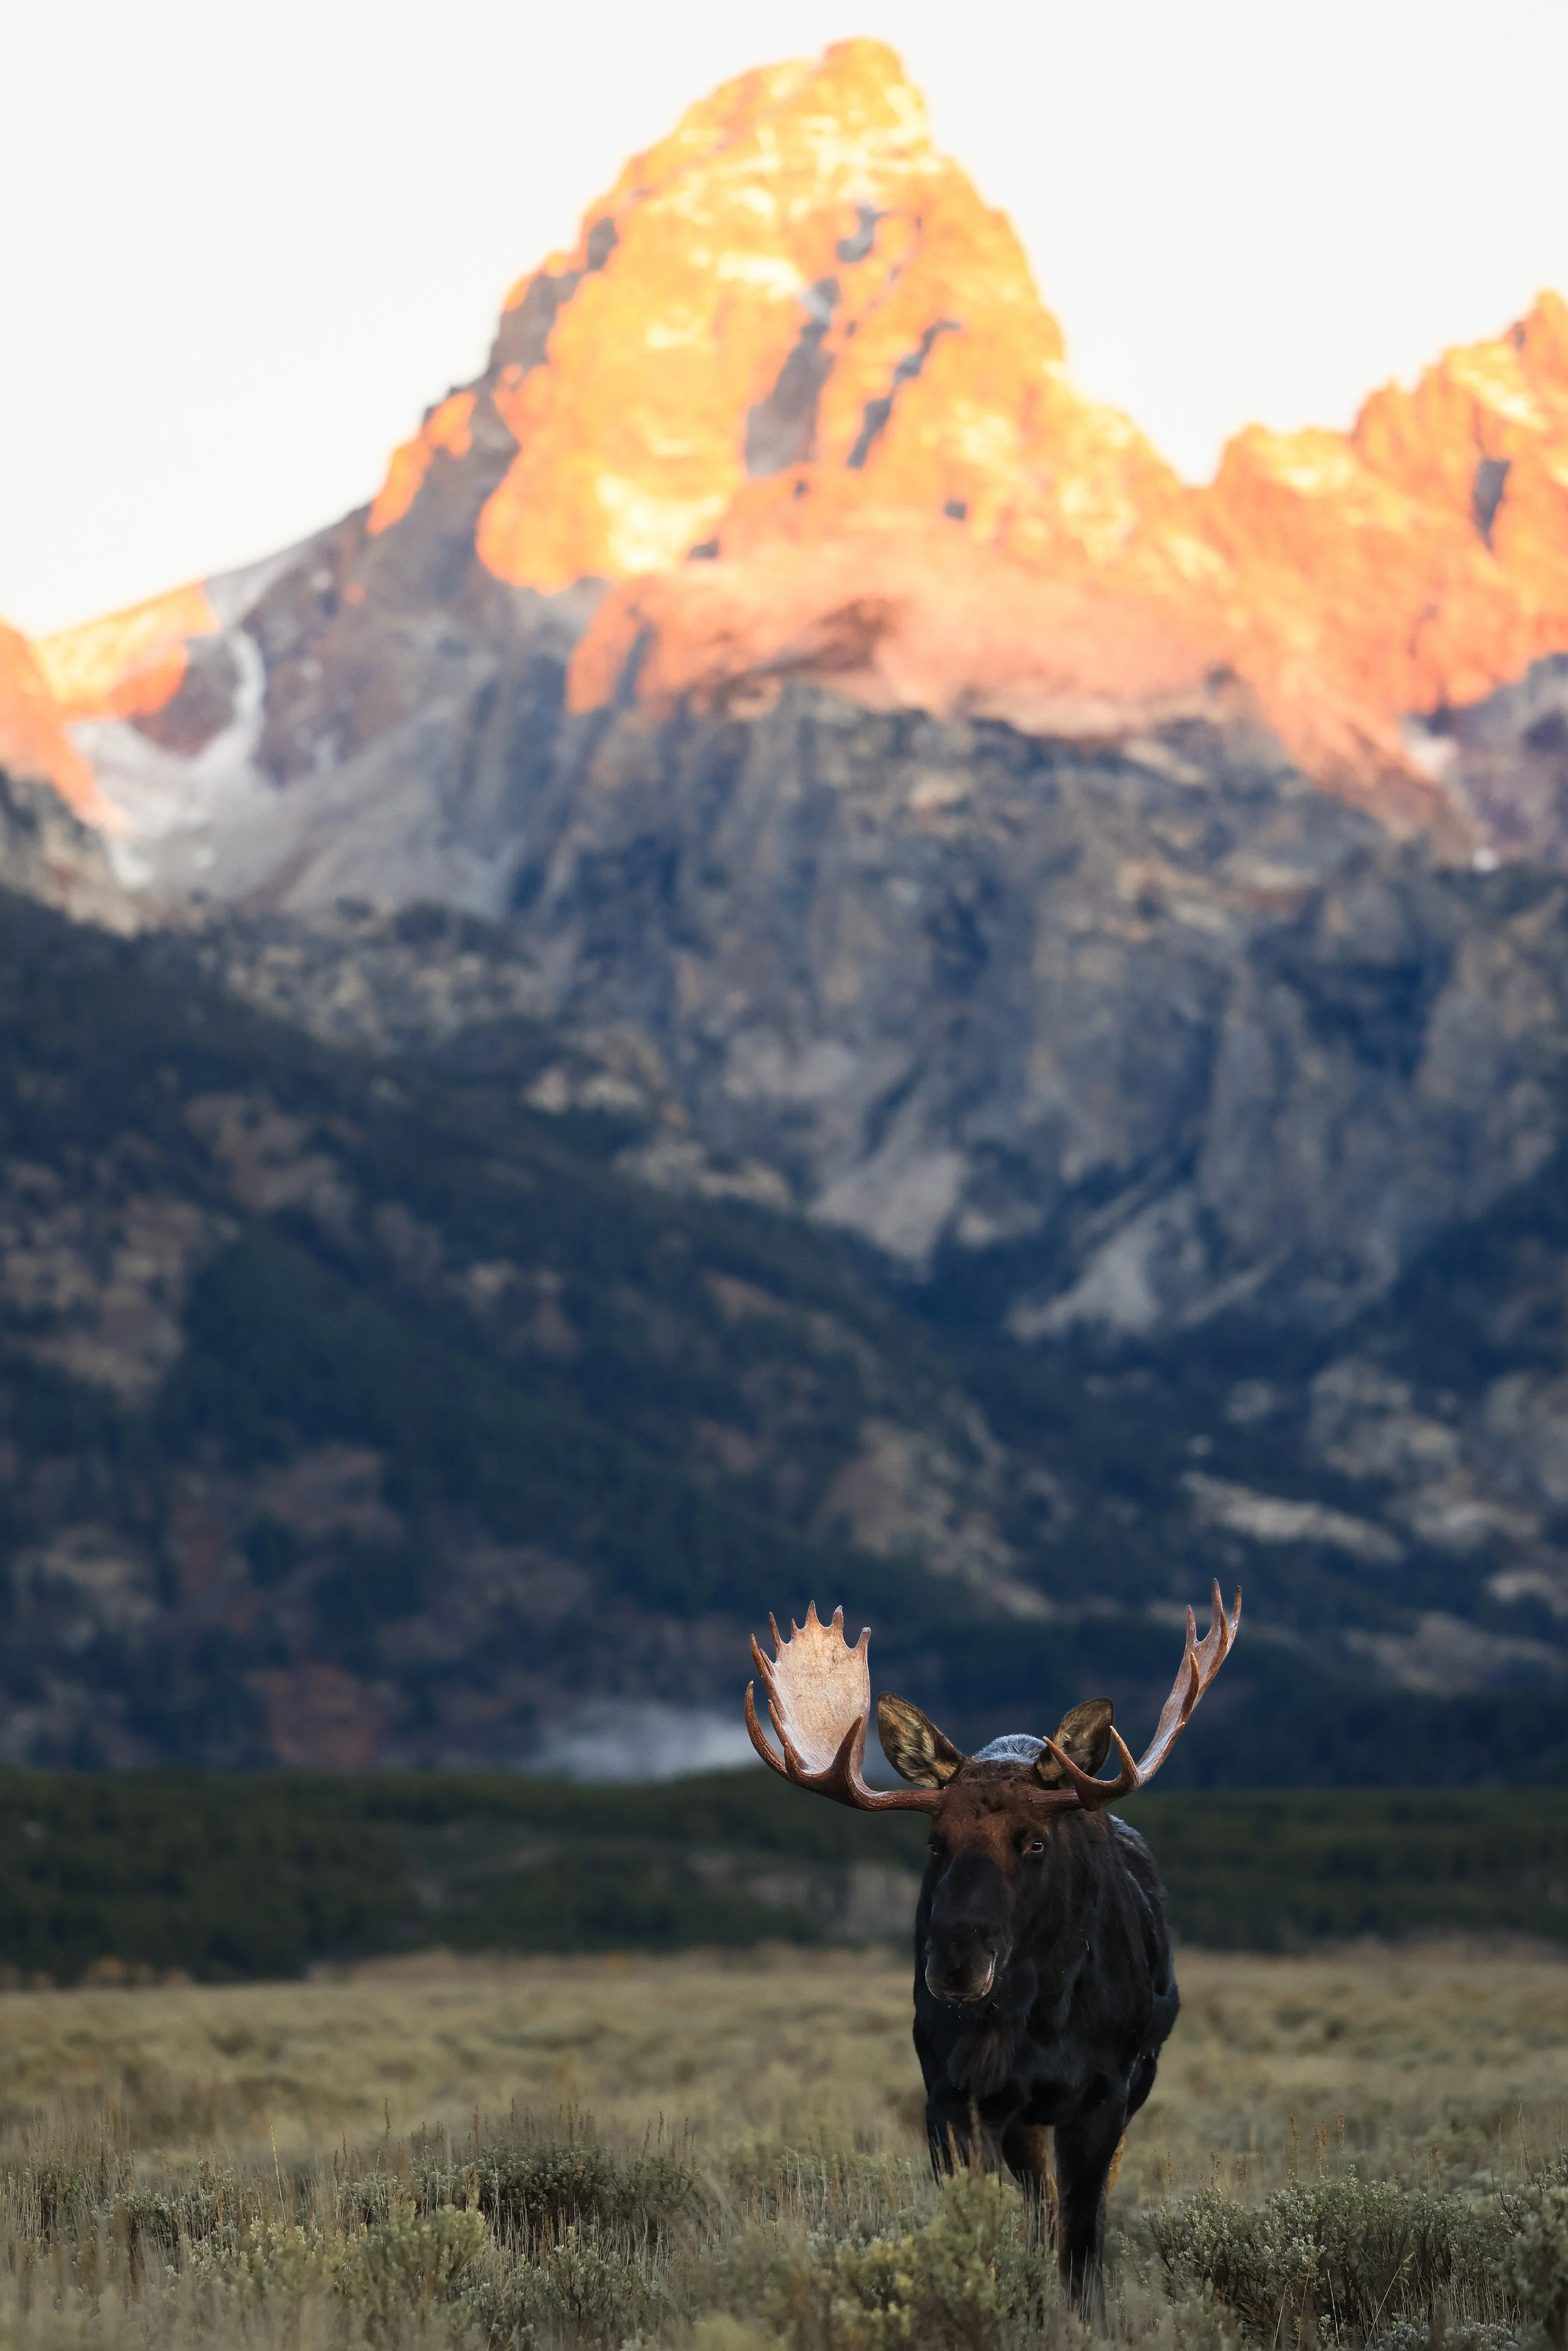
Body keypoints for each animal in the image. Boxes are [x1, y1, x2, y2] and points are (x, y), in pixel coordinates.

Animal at [745, 1582, 1240, 2315]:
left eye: (1034, 1840)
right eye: (935, 1842)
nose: (955, 1963)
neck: (1032, 2018)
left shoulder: (1104, 2094)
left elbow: (1084, 2241)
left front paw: (1084, 2316)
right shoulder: (951, 2098)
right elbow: (979, 2231)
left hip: (1134, 2083)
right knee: (1041, 2203)